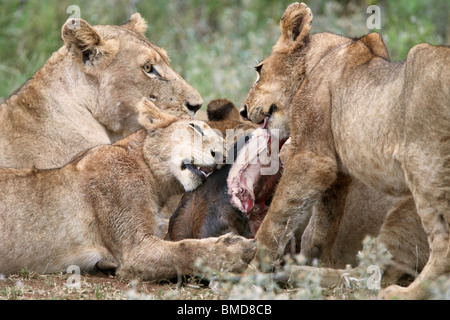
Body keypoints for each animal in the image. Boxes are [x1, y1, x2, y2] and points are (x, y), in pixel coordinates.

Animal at [241, 2, 448, 298]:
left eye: (259, 69)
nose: (243, 110)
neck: (320, 59)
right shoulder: (337, 170)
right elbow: (322, 227)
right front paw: (314, 260)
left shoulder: (312, 159)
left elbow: (276, 221)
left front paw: (249, 274)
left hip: (425, 170)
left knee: (389, 269)